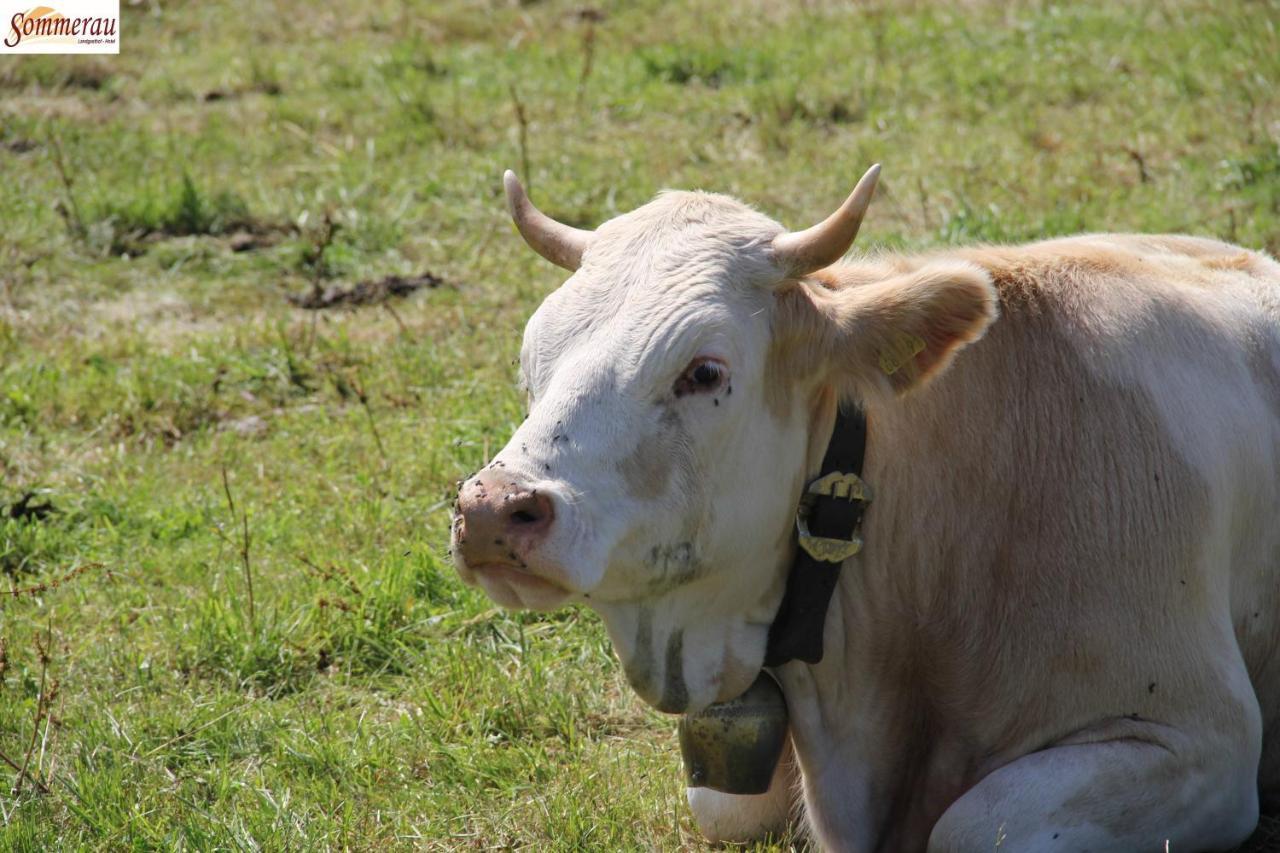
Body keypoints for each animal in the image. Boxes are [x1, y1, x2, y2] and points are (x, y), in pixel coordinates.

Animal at [450, 162, 1280, 845]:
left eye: (704, 371)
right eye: (531, 358)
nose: (491, 509)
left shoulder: (1204, 740)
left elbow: (972, 826)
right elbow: (723, 804)